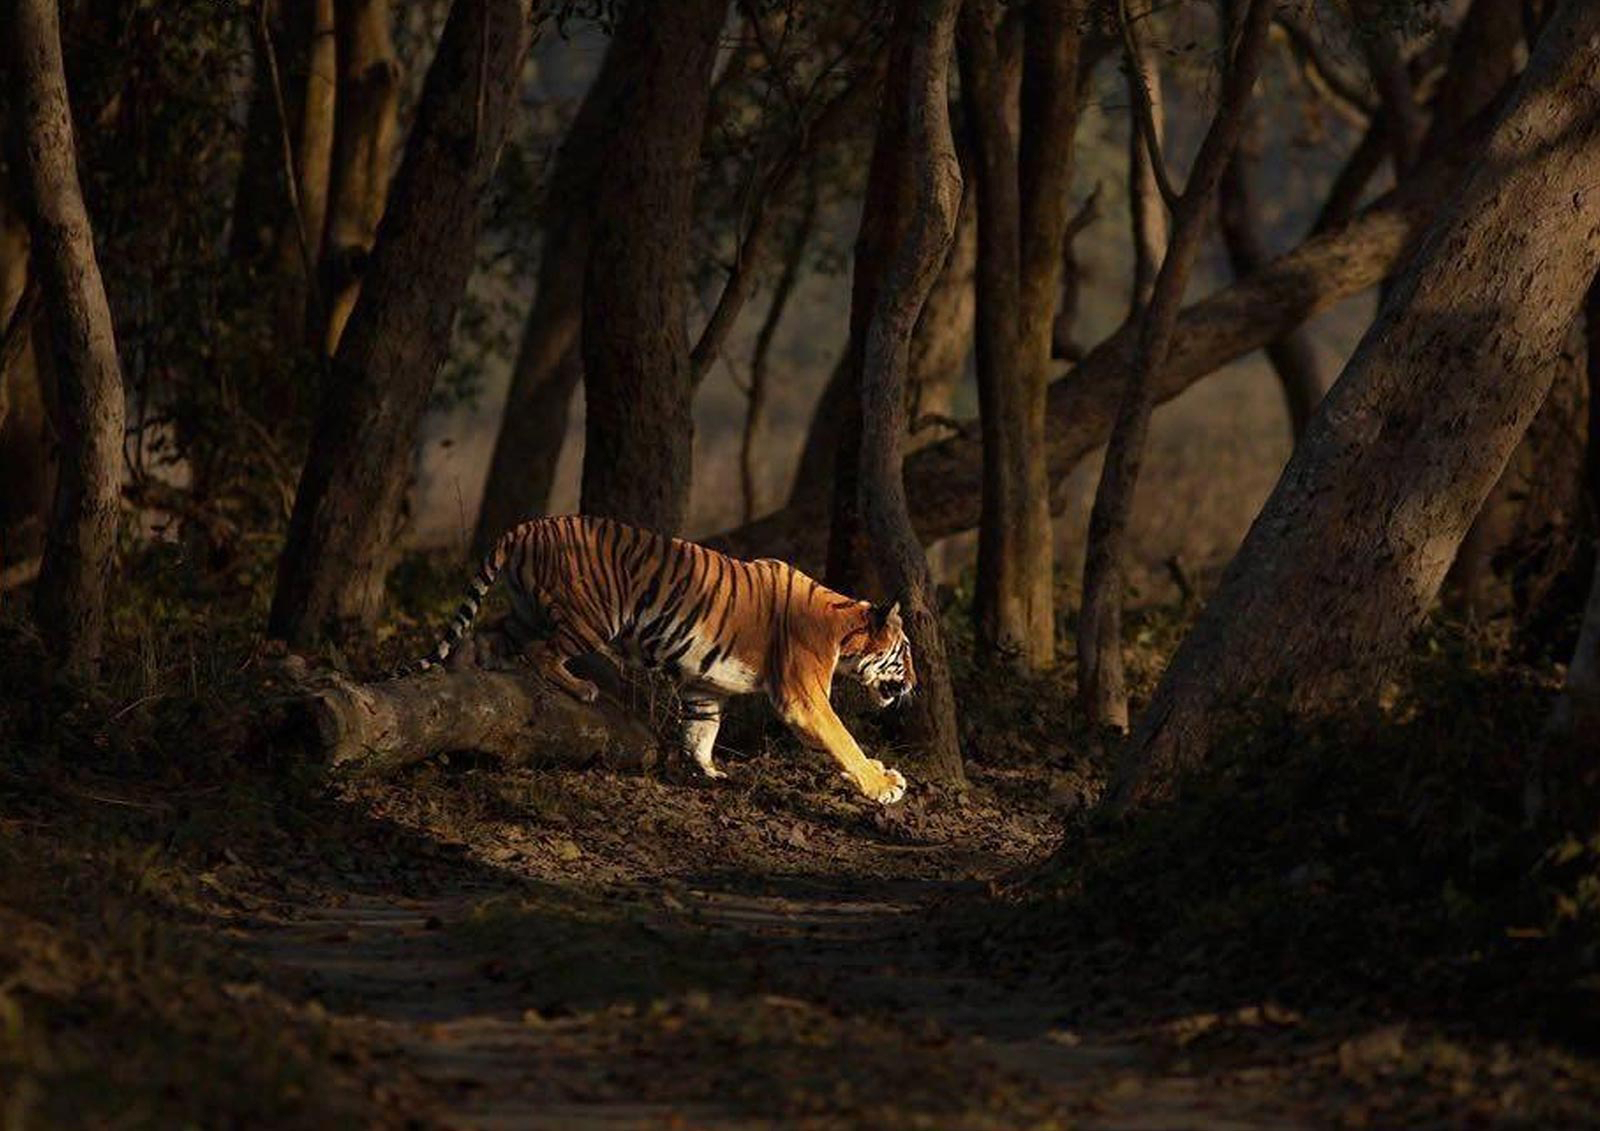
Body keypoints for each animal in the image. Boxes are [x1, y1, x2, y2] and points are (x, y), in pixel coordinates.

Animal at [411, 515, 914, 805]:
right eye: (906, 652)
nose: (915, 683)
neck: (841, 629)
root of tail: (530, 525)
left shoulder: (706, 685)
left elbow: (701, 731)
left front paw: (710, 772)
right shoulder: (803, 697)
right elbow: (844, 739)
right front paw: (882, 784)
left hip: (527, 610)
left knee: (483, 637)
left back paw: (465, 673)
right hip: (592, 616)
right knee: (540, 653)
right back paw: (581, 687)